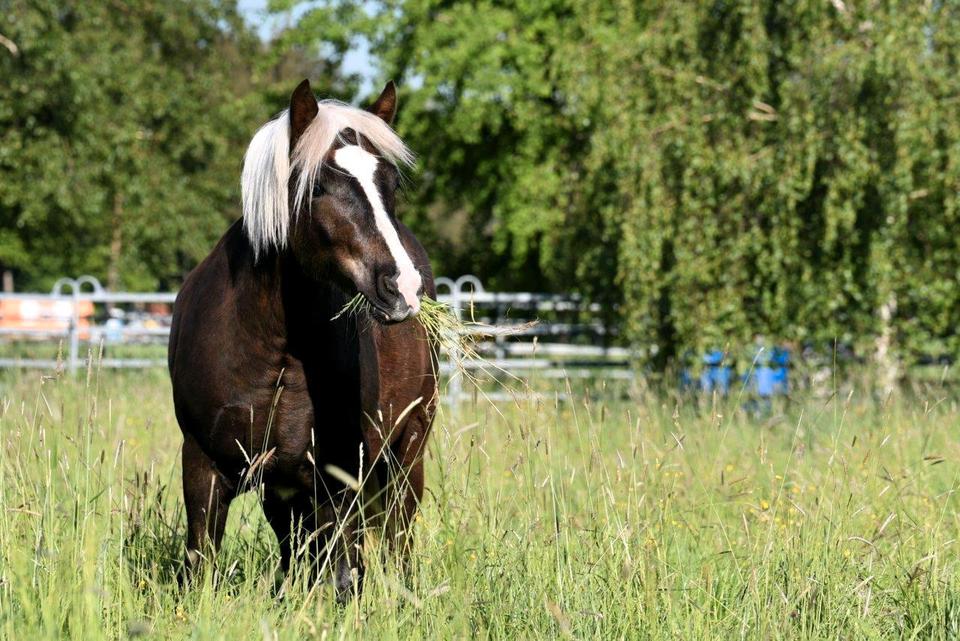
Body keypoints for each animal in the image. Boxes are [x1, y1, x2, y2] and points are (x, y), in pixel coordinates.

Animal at [167, 80, 436, 600]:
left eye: (391, 183)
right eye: (319, 186)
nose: (403, 287)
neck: (273, 351)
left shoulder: (338, 476)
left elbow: (343, 572)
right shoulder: (203, 466)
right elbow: (200, 561)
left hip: (407, 450)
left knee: (396, 535)